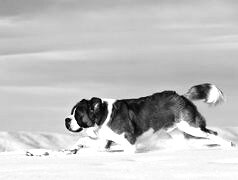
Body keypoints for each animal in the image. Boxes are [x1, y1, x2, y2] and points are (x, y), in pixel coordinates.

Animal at [65, 83, 234, 152]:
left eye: (77, 114)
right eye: (72, 113)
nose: (67, 119)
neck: (102, 115)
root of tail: (181, 96)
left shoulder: (129, 140)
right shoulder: (105, 142)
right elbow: (84, 140)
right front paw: (73, 148)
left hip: (190, 126)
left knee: (211, 133)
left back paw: (228, 145)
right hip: (176, 131)